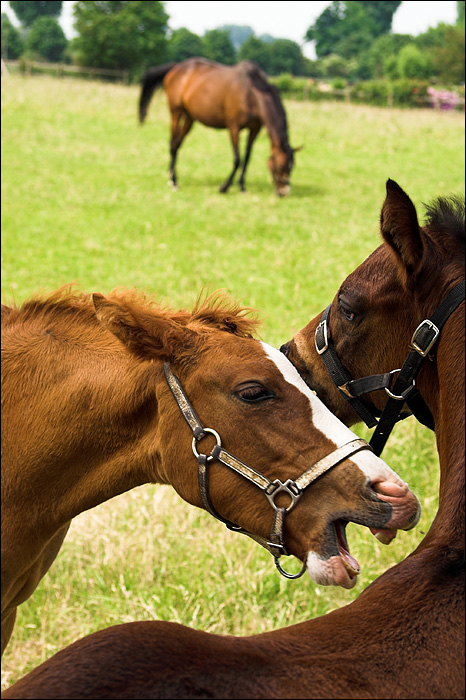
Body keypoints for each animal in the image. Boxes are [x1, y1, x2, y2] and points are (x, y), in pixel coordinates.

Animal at [139, 55, 298, 194]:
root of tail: (176, 67)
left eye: (292, 167)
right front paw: (224, 187)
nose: (284, 192)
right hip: (176, 113)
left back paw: (171, 175)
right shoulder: (234, 128)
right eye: (282, 166)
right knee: (172, 143)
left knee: (177, 143)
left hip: (189, 118)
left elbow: (247, 158)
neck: (251, 93)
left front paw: (242, 186)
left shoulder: (255, 129)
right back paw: (173, 181)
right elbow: (237, 159)